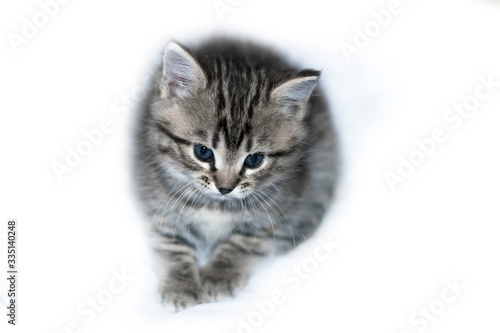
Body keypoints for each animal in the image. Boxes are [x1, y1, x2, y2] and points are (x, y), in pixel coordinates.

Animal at [133, 37, 338, 310]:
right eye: (203, 152)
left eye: (254, 159)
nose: (225, 187)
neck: (216, 206)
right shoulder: (158, 201)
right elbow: (172, 243)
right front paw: (181, 286)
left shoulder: (279, 210)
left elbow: (242, 242)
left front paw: (219, 276)